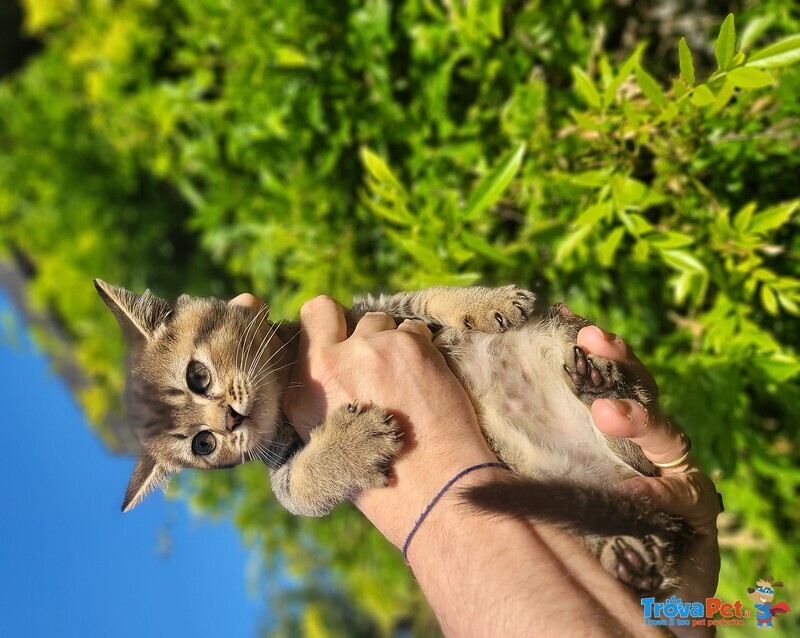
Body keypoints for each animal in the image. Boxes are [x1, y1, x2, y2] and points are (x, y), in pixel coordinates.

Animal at [94, 282, 692, 600]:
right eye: (201, 445)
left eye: (197, 376)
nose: (230, 421)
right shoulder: (282, 466)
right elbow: (302, 490)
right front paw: (351, 443)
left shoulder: (376, 305)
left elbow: (429, 295)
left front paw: (486, 300)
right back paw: (629, 554)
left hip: (564, 342)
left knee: (633, 422)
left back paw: (600, 388)